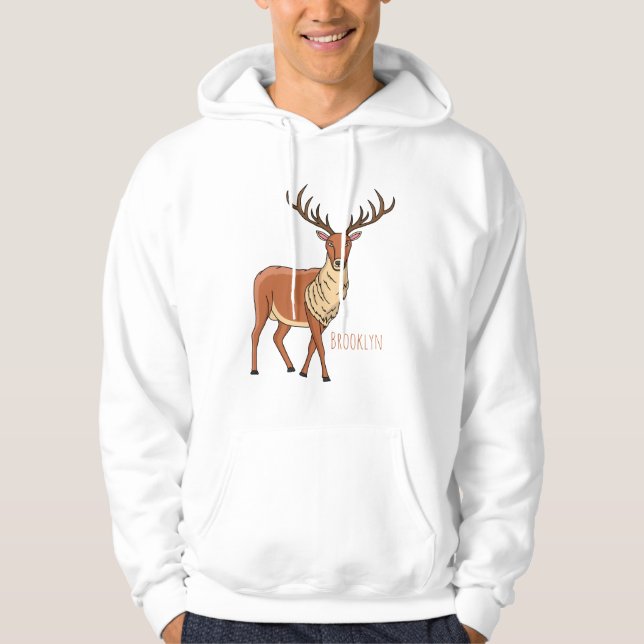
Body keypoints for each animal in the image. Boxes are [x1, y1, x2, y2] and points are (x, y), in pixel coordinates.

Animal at [250, 184, 396, 382]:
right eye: (329, 242)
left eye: (347, 243)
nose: (339, 262)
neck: (328, 299)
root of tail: (258, 274)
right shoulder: (310, 313)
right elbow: (321, 346)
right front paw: (326, 376)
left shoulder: (326, 320)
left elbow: (313, 345)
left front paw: (304, 373)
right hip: (261, 304)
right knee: (255, 333)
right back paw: (254, 370)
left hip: (285, 318)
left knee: (277, 337)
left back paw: (291, 367)